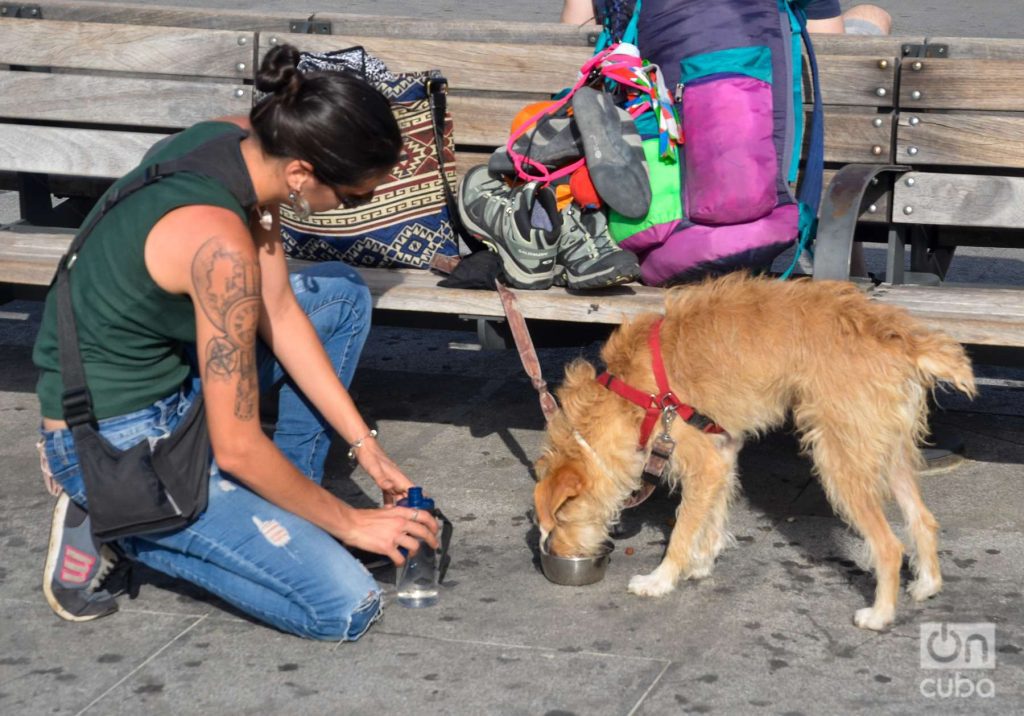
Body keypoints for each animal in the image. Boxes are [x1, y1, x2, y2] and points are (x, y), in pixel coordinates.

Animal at [536, 272, 974, 630]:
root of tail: (895, 334)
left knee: (889, 545)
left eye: (560, 518)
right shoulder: (722, 453)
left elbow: (681, 530)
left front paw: (661, 580)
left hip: (841, 460)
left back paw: (880, 614)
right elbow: (710, 517)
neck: (631, 392)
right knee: (922, 520)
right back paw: (927, 584)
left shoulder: (704, 462)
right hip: (887, 452)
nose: (551, 552)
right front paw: (702, 562)